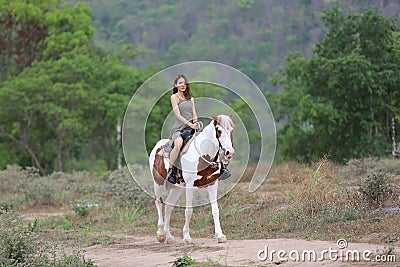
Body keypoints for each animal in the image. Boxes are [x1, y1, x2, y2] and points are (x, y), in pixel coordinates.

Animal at [148, 114, 233, 244]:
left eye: (231, 130)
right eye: (219, 131)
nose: (229, 152)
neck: (203, 155)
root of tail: (157, 146)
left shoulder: (213, 184)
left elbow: (215, 210)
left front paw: (220, 235)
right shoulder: (189, 186)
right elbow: (188, 211)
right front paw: (187, 237)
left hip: (176, 188)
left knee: (168, 206)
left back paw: (169, 236)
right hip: (158, 182)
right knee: (158, 202)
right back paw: (161, 234)